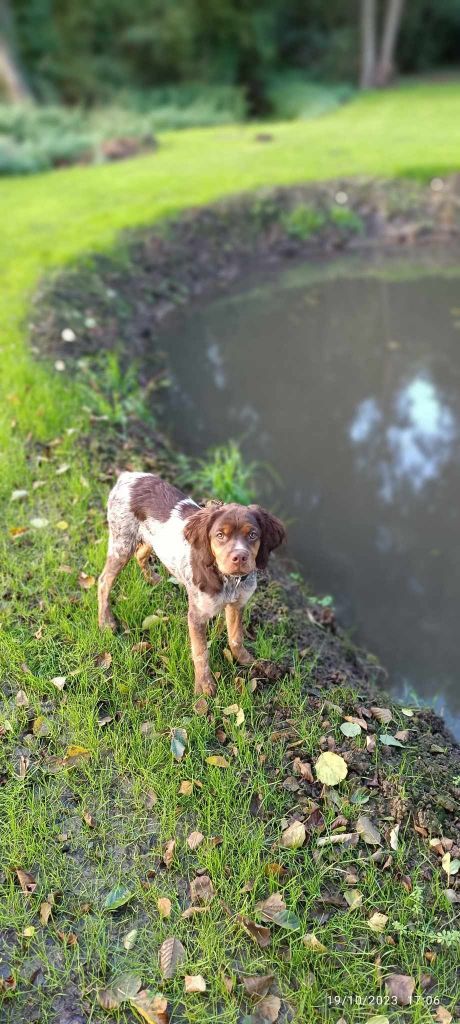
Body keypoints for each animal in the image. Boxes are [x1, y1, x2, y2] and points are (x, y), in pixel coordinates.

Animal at [97, 471, 282, 696]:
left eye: (253, 535)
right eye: (220, 535)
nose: (239, 557)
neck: (229, 581)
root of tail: (128, 475)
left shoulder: (238, 604)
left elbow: (236, 637)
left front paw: (248, 661)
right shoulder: (197, 616)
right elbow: (201, 652)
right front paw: (204, 686)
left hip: (149, 539)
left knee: (141, 555)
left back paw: (153, 579)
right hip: (121, 543)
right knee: (104, 581)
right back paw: (106, 621)